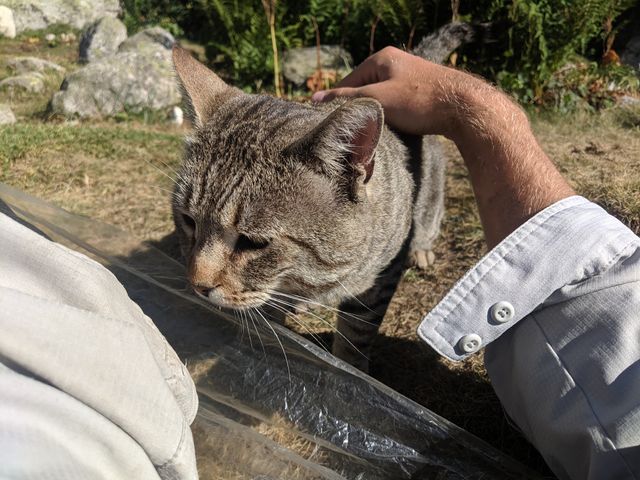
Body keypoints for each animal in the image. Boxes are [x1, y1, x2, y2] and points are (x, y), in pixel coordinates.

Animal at [172, 46, 448, 372]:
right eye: (189, 221)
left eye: (253, 242)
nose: (197, 285)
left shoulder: (380, 280)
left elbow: (356, 334)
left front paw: (350, 368)